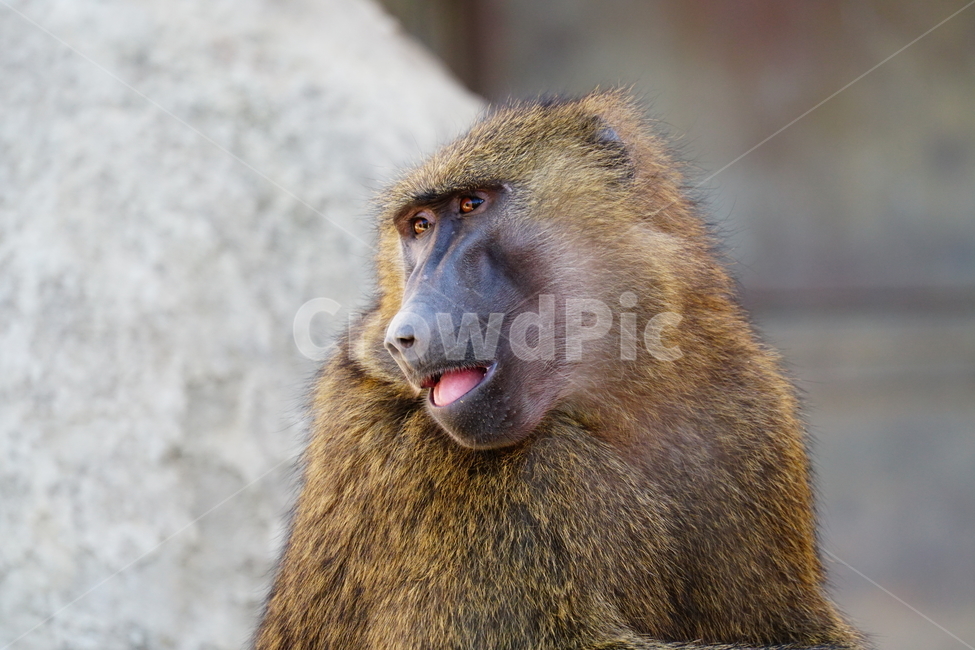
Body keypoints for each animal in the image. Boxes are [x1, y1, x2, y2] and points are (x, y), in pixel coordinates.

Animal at [254, 90, 867, 649]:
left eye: (472, 204)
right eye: (420, 225)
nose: (403, 338)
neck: (612, 397)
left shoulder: (750, 410)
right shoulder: (526, 480)